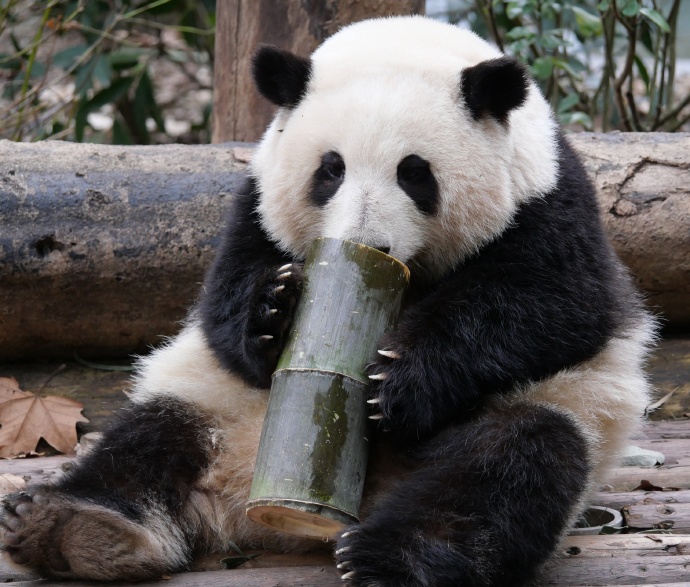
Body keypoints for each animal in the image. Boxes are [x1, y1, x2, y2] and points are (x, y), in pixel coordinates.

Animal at [0, 15, 654, 587]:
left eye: (415, 173)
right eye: (331, 169)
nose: (368, 242)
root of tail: (271, 516)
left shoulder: (548, 205)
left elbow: (555, 306)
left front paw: (401, 382)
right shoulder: (256, 203)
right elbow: (222, 299)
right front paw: (272, 311)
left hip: (561, 406)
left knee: (505, 469)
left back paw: (388, 561)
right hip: (216, 406)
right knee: (147, 439)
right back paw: (70, 524)